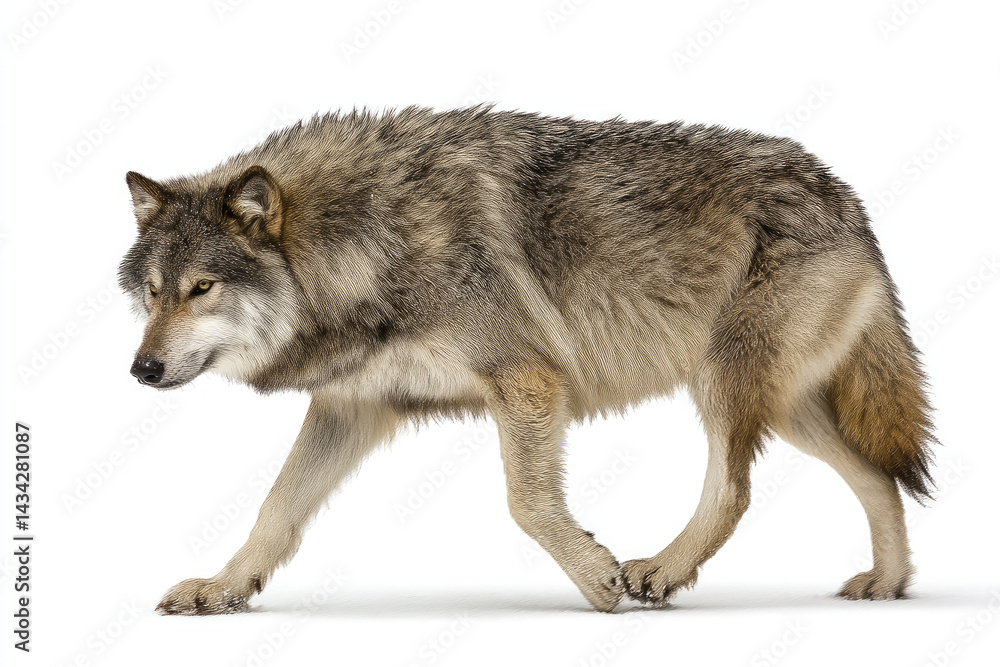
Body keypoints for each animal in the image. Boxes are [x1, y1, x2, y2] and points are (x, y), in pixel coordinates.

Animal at [118, 107, 935, 615]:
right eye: (152, 293)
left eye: (201, 288)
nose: (141, 370)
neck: (363, 246)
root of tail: (844, 194)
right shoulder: (355, 406)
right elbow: (276, 508)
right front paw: (223, 588)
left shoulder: (527, 380)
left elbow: (527, 502)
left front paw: (596, 579)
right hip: (786, 405)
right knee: (877, 477)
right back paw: (889, 583)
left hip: (724, 383)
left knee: (735, 489)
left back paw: (664, 569)